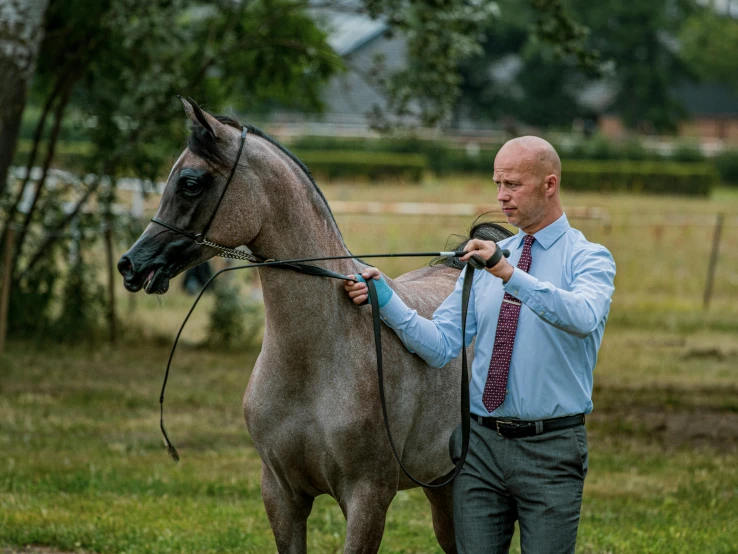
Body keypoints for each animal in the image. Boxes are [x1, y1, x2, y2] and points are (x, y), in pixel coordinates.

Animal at [121, 99, 508, 552]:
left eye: (190, 183)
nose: (132, 264)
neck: (315, 361)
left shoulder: (368, 498)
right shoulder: (281, 494)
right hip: (441, 486)